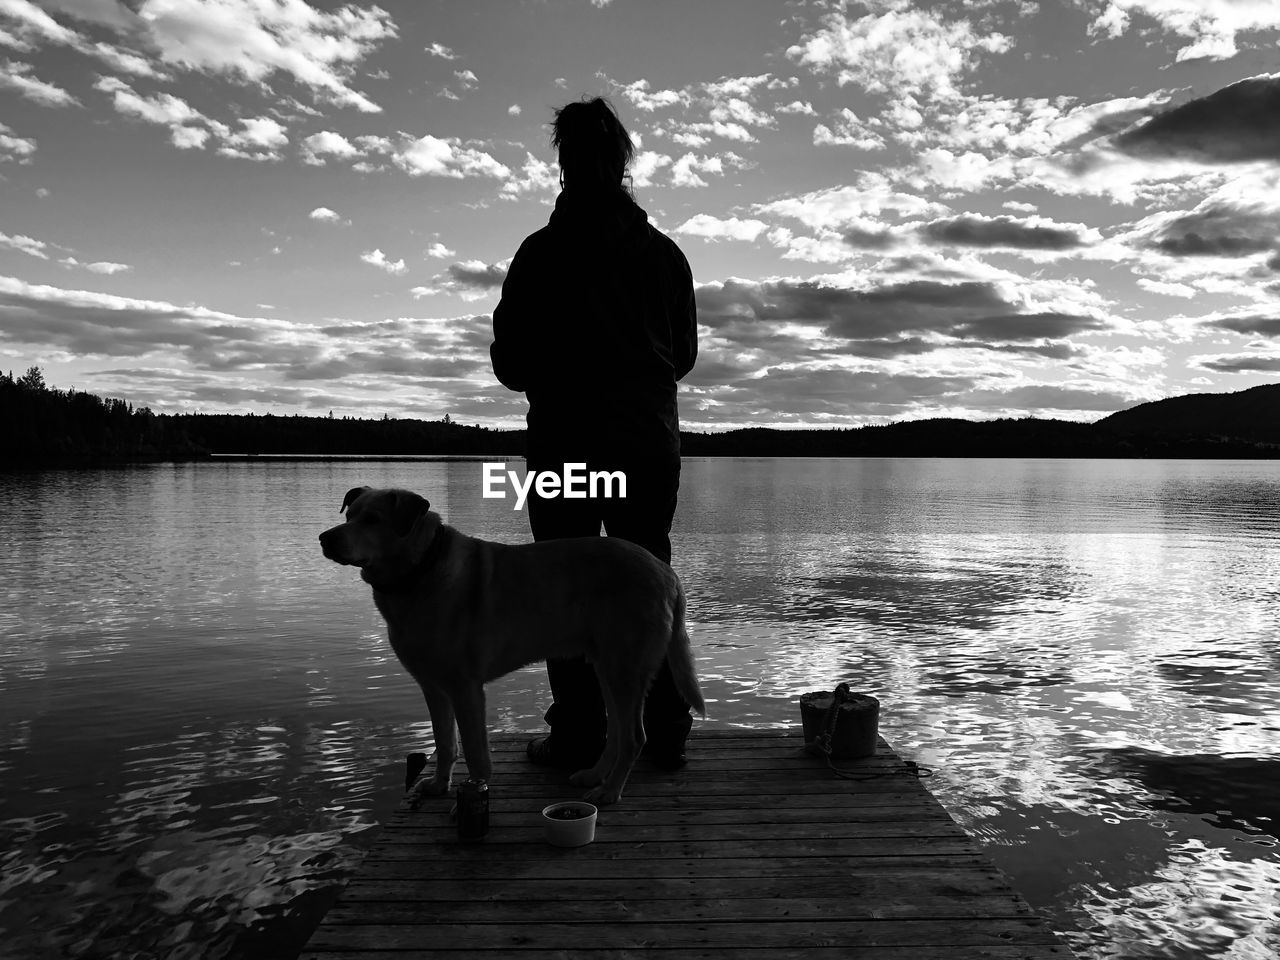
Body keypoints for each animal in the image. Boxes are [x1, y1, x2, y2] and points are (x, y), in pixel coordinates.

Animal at [316, 483, 706, 808]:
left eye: (373, 519)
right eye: (350, 515)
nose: (324, 538)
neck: (420, 570)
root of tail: (666, 571)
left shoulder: (465, 688)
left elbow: (474, 752)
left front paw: (474, 794)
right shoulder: (433, 686)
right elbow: (444, 743)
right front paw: (439, 786)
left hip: (625, 668)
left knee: (635, 737)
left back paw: (609, 792)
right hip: (607, 668)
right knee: (618, 733)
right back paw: (595, 776)